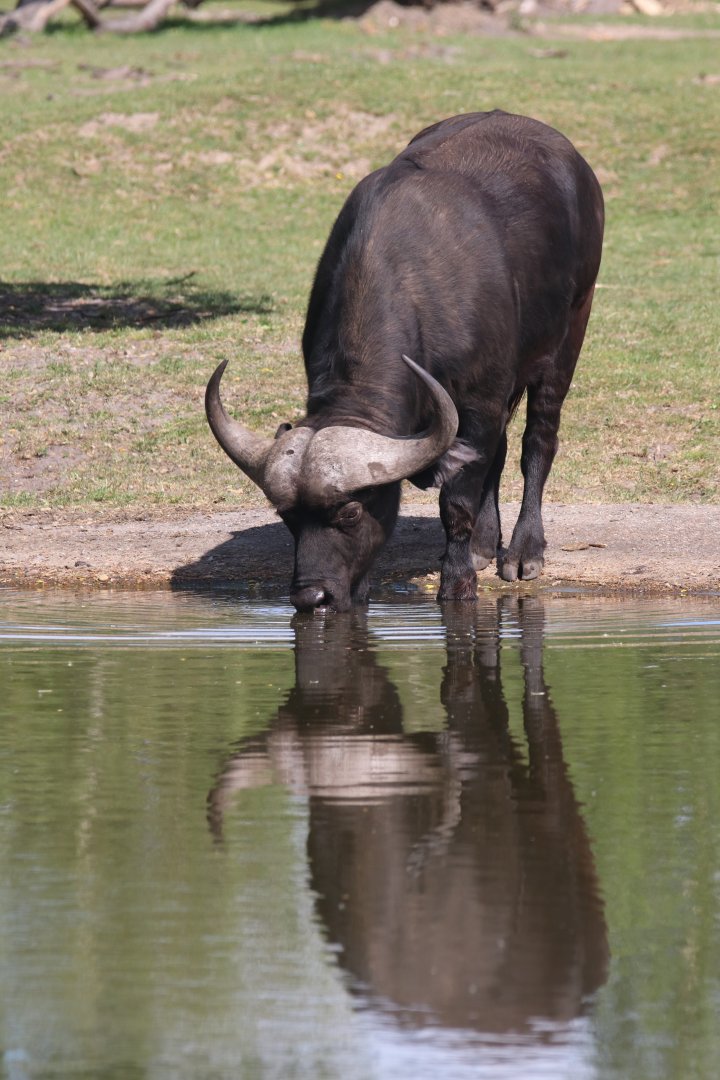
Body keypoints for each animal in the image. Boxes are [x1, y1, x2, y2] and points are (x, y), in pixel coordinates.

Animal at [206, 110, 604, 611]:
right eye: (287, 517)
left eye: (351, 512)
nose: (311, 596)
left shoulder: (480, 401)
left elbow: (456, 502)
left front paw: (457, 582)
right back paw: (483, 546)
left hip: (569, 334)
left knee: (538, 442)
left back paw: (522, 552)